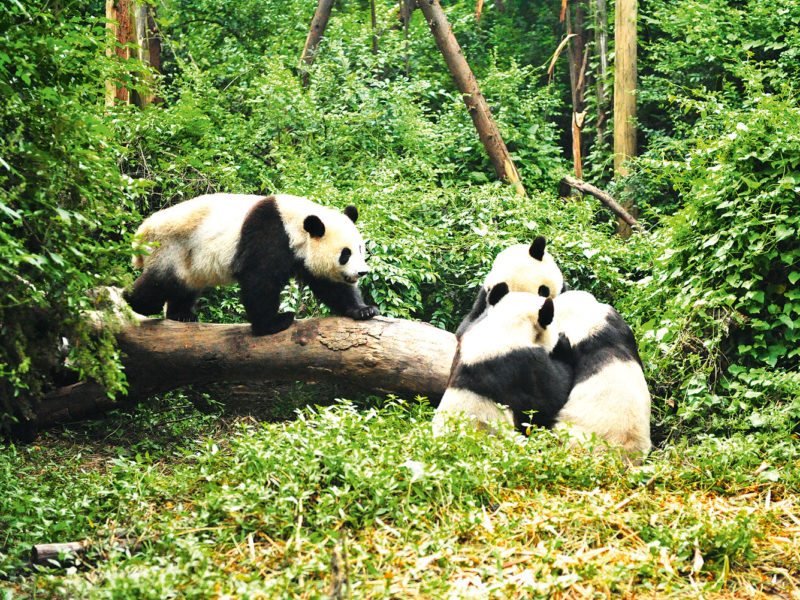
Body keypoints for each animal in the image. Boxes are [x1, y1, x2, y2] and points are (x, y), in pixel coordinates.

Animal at [126, 193, 382, 336]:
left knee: (184, 286)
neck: (297, 225)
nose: (362, 272)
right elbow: (260, 282)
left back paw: (182, 315)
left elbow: (330, 285)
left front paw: (364, 310)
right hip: (172, 247)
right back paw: (132, 303)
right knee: (158, 283)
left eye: (361, 249)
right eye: (345, 254)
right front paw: (274, 323)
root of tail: (143, 231)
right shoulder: (269, 235)